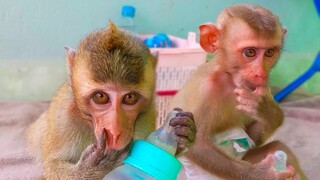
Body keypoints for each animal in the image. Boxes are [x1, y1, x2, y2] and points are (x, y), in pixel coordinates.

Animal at [26, 21, 195, 179]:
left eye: (130, 97)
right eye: (101, 97)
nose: (114, 132)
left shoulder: (147, 115)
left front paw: (181, 137)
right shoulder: (63, 117)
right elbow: (52, 166)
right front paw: (94, 168)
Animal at [171, 3, 306, 180]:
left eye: (269, 52)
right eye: (250, 52)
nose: (260, 73)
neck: (230, 80)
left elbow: (251, 136)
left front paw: (268, 112)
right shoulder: (205, 89)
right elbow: (197, 145)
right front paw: (261, 174)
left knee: (279, 149)